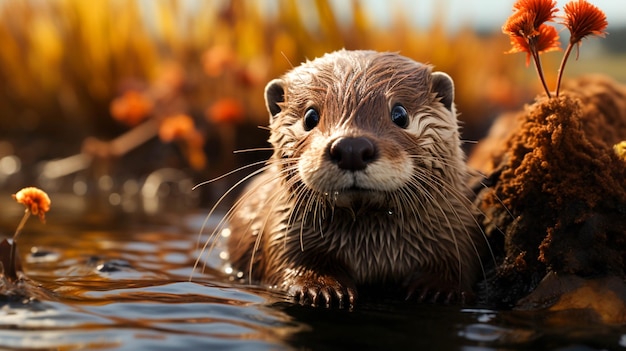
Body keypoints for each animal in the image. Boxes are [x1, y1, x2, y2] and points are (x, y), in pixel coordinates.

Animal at [223, 50, 482, 308]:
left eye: (400, 114)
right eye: (310, 117)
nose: (351, 148)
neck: (372, 254)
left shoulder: (456, 232)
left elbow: (453, 266)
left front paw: (437, 289)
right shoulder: (282, 231)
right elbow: (296, 263)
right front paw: (321, 286)